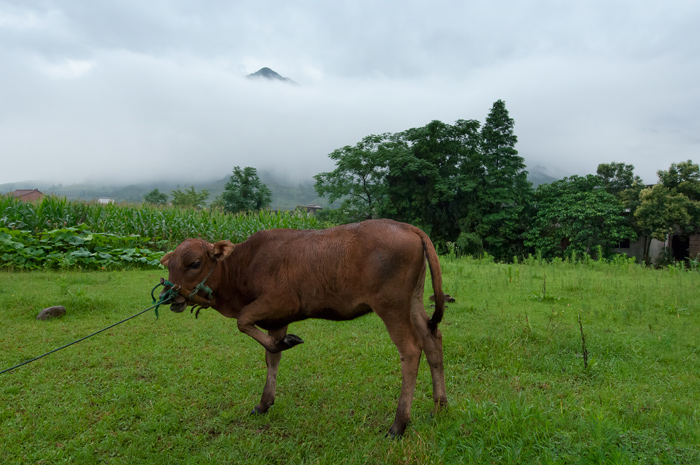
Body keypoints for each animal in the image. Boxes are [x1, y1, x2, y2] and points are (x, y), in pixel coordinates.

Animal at [160, 218, 448, 436]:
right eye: (170, 265)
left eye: (195, 263)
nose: (167, 295)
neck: (244, 265)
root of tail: (406, 226)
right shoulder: (277, 319)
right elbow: (272, 356)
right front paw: (264, 402)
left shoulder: (279, 301)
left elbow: (243, 321)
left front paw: (287, 343)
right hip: (414, 302)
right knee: (432, 338)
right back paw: (440, 406)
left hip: (391, 306)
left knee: (411, 349)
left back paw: (399, 424)